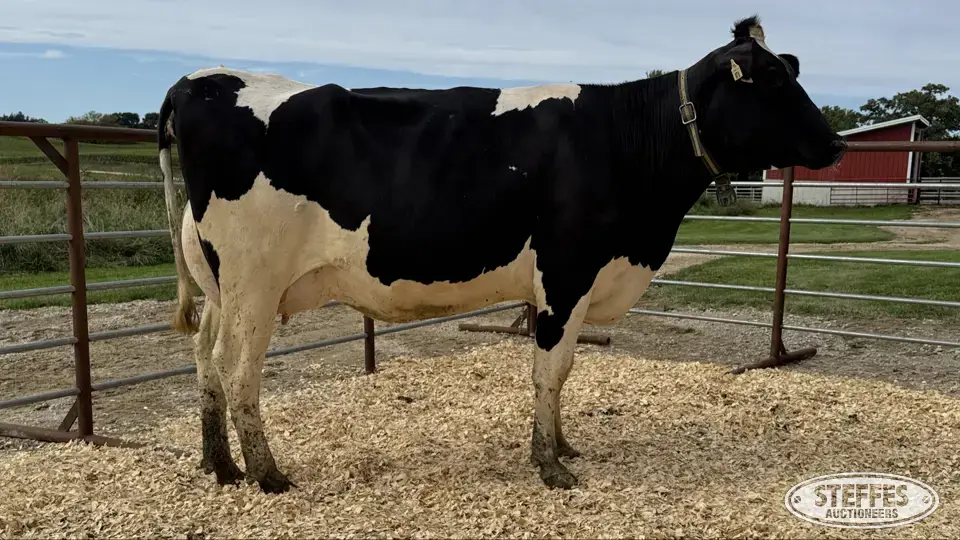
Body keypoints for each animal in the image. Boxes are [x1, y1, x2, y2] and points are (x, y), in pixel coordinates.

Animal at [157, 15, 845, 494]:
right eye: (776, 81)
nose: (837, 143)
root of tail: (201, 80)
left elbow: (562, 373)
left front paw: (563, 446)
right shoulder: (567, 275)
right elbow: (551, 371)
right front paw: (550, 465)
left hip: (218, 284)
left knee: (204, 361)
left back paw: (220, 466)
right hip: (253, 283)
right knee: (238, 372)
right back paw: (267, 475)